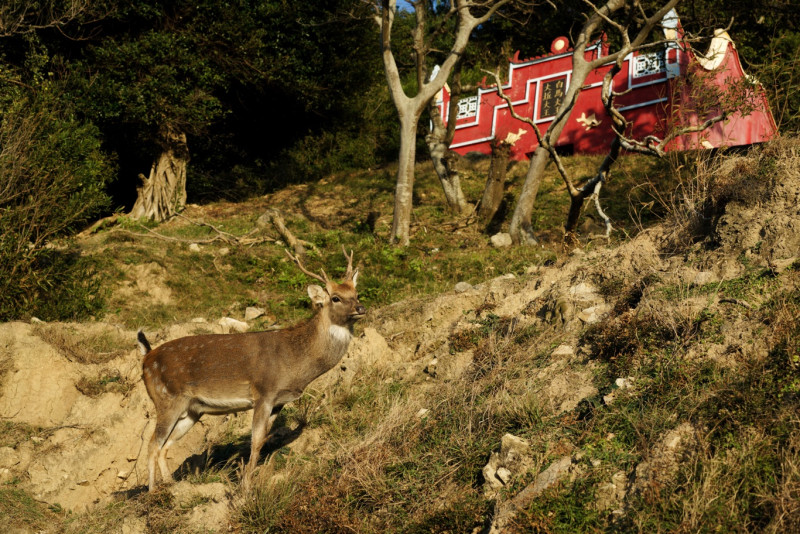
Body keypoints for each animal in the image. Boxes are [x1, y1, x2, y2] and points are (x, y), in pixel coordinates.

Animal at [139, 249, 364, 492]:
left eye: (356, 293)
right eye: (335, 298)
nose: (361, 308)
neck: (295, 363)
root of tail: (146, 359)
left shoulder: (278, 401)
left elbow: (262, 440)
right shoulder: (264, 392)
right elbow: (255, 442)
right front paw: (245, 487)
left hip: (192, 409)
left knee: (165, 446)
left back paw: (171, 486)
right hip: (166, 398)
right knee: (153, 444)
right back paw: (153, 492)